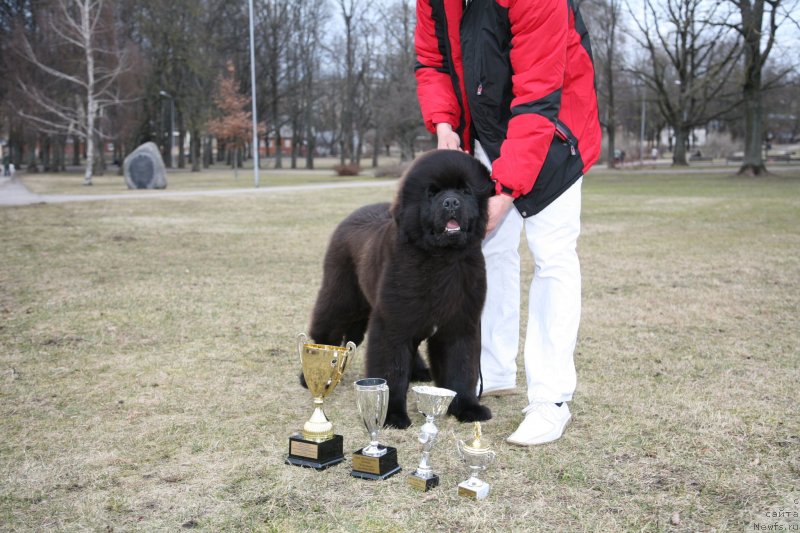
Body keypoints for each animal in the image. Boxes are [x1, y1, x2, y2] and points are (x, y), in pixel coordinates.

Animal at [306, 149, 494, 428]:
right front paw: (391, 415)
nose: (451, 203)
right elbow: (391, 369)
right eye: (432, 193)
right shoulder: (392, 322)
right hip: (342, 295)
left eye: (465, 190)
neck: (441, 260)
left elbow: (461, 367)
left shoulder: (459, 324)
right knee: (326, 323)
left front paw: (468, 407)